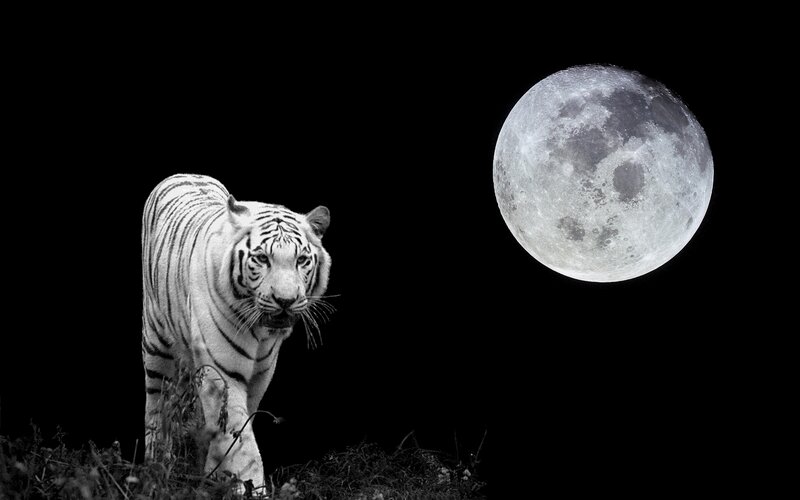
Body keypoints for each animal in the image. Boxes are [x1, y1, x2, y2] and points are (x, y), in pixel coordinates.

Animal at [141, 173, 332, 490]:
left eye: (302, 260)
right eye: (262, 259)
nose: (286, 300)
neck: (261, 333)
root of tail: (184, 173)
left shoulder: (261, 373)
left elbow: (235, 425)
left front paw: (217, 473)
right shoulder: (223, 371)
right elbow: (239, 437)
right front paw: (248, 485)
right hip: (156, 345)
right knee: (158, 403)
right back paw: (156, 464)